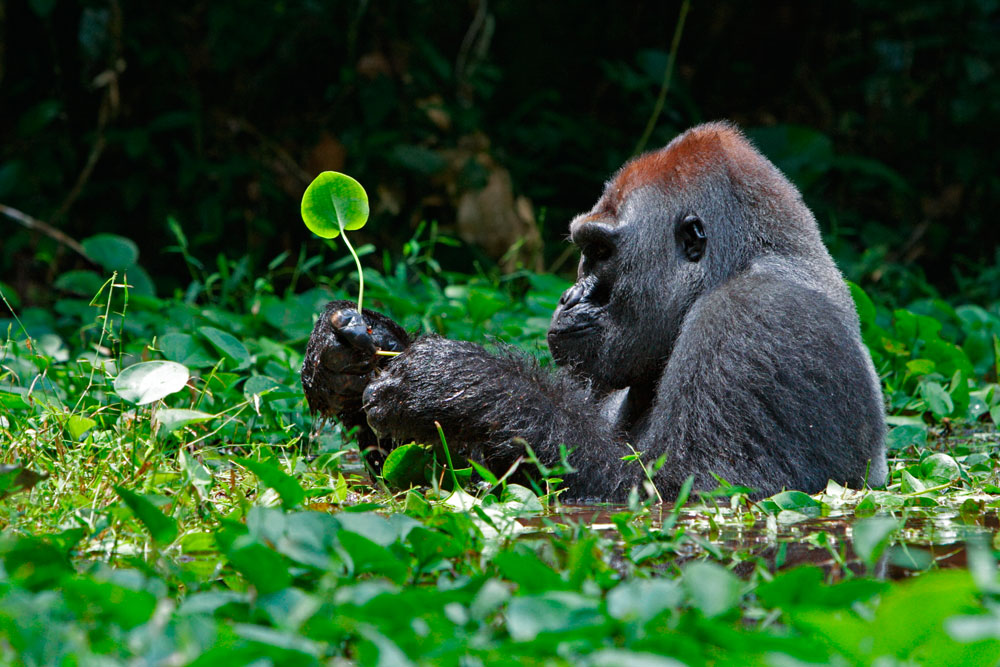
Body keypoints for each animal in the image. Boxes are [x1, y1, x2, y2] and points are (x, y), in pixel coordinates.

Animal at [300, 122, 888, 504]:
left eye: (601, 252)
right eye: (585, 250)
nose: (569, 296)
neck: (738, 262)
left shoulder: (759, 319)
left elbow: (690, 490)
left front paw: (460, 384)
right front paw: (348, 357)